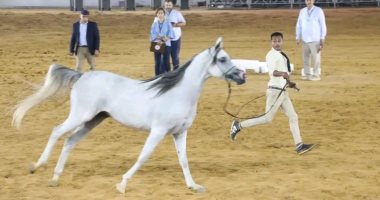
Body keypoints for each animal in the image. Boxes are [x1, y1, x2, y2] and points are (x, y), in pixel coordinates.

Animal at [12, 37, 246, 194]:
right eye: (222, 59)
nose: (242, 76)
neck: (178, 93)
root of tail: (82, 75)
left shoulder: (179, 133)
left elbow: (184, 160)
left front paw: (193, 186)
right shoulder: (158, 131)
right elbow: (143, 156)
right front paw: (122, 184)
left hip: (93, 120)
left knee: (70, 140)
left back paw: (55, 178)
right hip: (81, 115)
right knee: (56, 131)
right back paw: (37, 166)